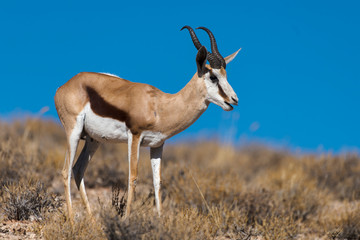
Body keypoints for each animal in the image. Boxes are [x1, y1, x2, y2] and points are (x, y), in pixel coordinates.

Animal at [54, 25, 240, 218]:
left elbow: (158, 183)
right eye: (213, 77)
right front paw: (126, 219)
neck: (160, 105)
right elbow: (133, 177)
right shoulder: (135, 136)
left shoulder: (157, 145)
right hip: (74, 132)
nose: (234, 100)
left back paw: (91, 221)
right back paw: (73, 221)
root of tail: (64, 86)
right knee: (66, 171)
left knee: (78, 169)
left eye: (226, 75)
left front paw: (160, 219)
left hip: (93, 140)